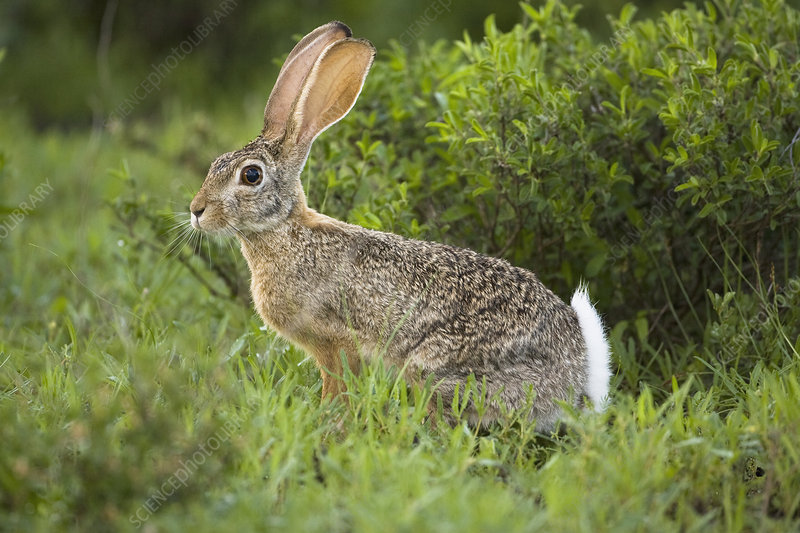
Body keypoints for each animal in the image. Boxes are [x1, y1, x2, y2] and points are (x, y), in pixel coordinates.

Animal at [189, 21, 612, 432]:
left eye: (252, 175)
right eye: (215, 163)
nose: (196, 210)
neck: (284, 232)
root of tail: (578, 377)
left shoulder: (337, 342)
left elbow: (338, 388)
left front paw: (328, 421)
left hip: (436, 368)